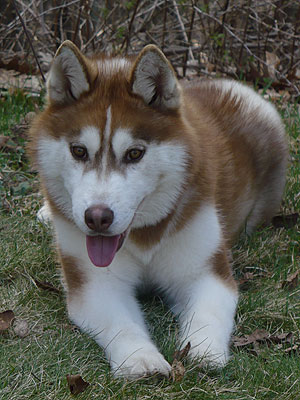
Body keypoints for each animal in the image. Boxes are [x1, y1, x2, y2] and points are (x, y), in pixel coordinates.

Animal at [28, 41, 288, 378]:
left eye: (134, 153)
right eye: (79, 151)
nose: (97, 218)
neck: (141, 236)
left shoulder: (206, 272)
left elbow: (208, 313)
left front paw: (204, 351)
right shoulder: (95, 284)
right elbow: (121, 323)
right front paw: (141, 358)